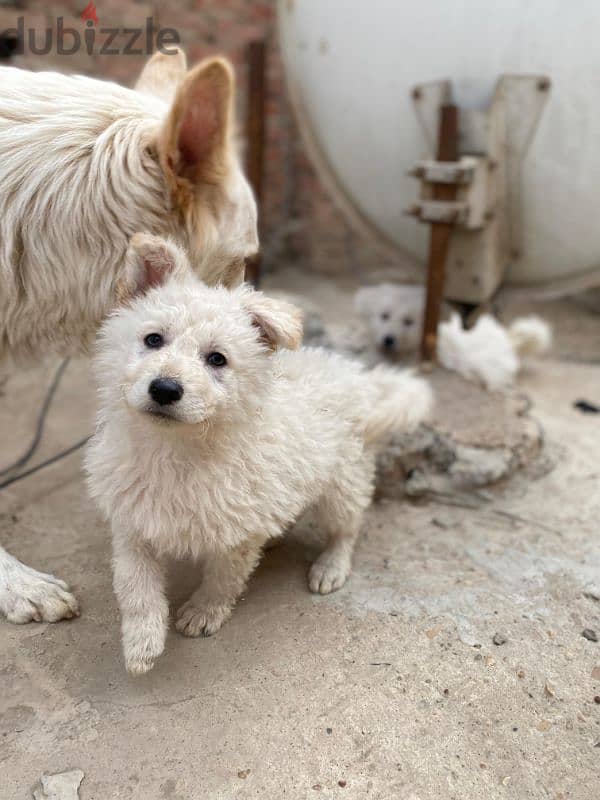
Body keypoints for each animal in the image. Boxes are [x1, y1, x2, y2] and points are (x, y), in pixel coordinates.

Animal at [85, 233, 432, 676]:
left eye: (217, 359)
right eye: (153, 340)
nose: (164, 389)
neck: (176, 450)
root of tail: (356, 379)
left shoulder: (236, 534)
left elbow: (223, 579)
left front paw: (203, 612)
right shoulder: (131, 522)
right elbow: (134, 586)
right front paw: (140, 644)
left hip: (342, 484)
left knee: (348, 528)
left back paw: (331, 566)